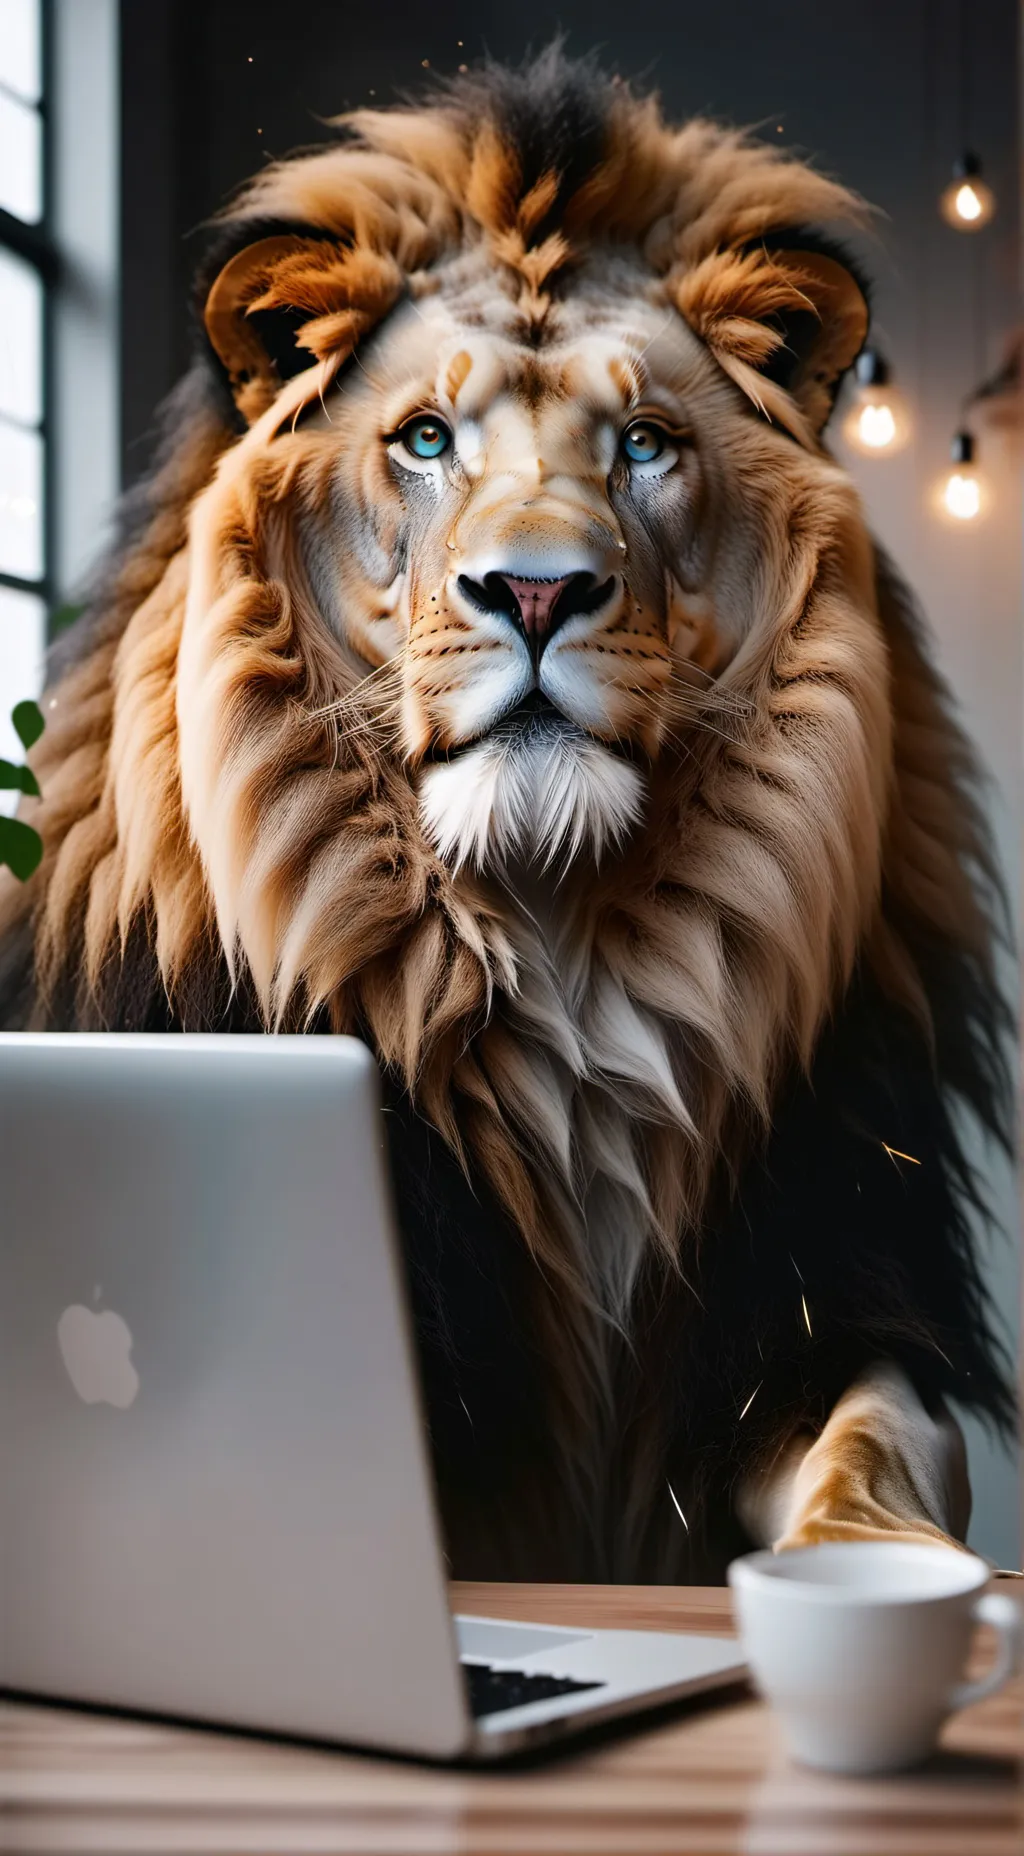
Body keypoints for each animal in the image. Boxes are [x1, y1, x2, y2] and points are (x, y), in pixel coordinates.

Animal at [0, 50, 1013, 1581]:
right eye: (425, 439)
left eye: (645, 445)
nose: (536, 590)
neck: (556, 943)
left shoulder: (819, 1296)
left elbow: (872, 1448)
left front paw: (871, 1564)